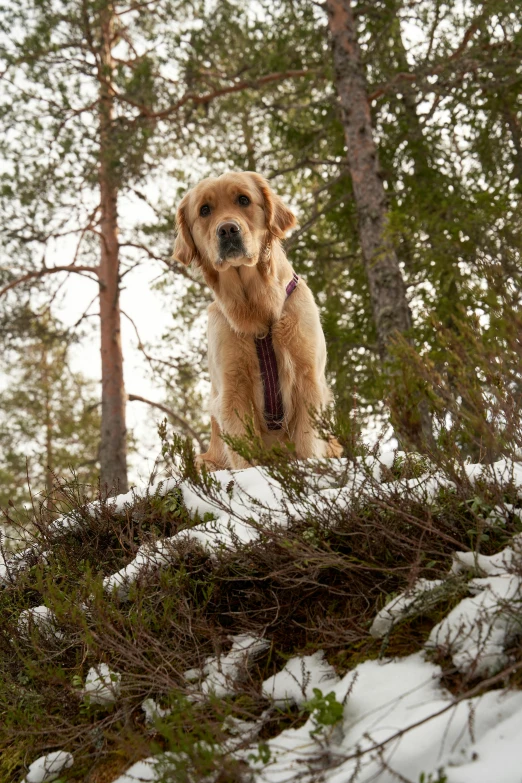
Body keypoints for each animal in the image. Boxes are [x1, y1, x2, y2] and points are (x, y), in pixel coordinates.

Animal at [173, 172, 340, 468]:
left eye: (243, 200)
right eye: (205, 210)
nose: (228, 230)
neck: (257, 311)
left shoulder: (307, 377)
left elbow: (307, 441)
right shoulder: (232, 389)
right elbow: (243, 454)